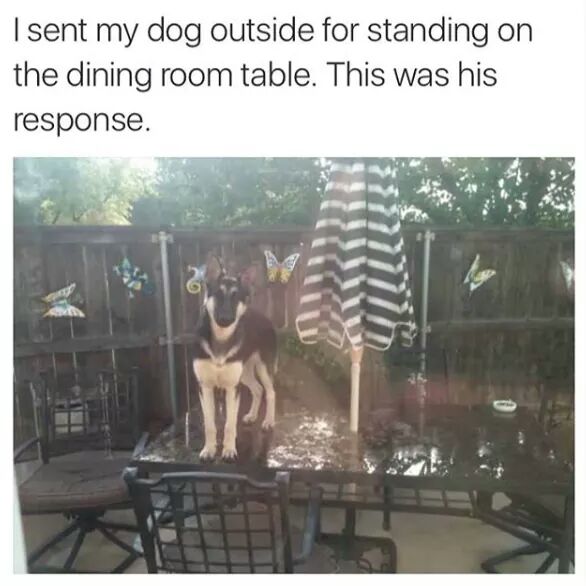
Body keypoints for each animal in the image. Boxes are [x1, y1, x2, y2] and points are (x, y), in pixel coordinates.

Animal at [189, 256, 276, 460]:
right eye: (218, 295)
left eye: (237, 298)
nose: (226, 318)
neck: (221, 338)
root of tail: (265, 317)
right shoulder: (205, 387)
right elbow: (210, 424)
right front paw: (209, 449)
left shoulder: (231, 388)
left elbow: (229, 424)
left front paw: (229, 450)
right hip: (244, 374)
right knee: (258, 389)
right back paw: (252, 415)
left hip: (263, 368)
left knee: (270, 392)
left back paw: (268, 421)